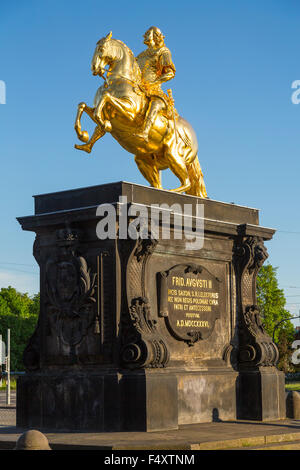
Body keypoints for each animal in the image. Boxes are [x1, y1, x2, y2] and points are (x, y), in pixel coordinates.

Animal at [74, 31, 206, 196]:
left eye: (102, 48)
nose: (94, 68)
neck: (117, 81)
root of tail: (192, 136)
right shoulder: (102, 110)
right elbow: (83, 106)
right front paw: (83, 135)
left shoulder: (129, 112)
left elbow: (106, 97)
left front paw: (104, 124)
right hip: (144, 160)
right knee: (160, 184)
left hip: (173, 154)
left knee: (187, 182)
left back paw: (170, 192)